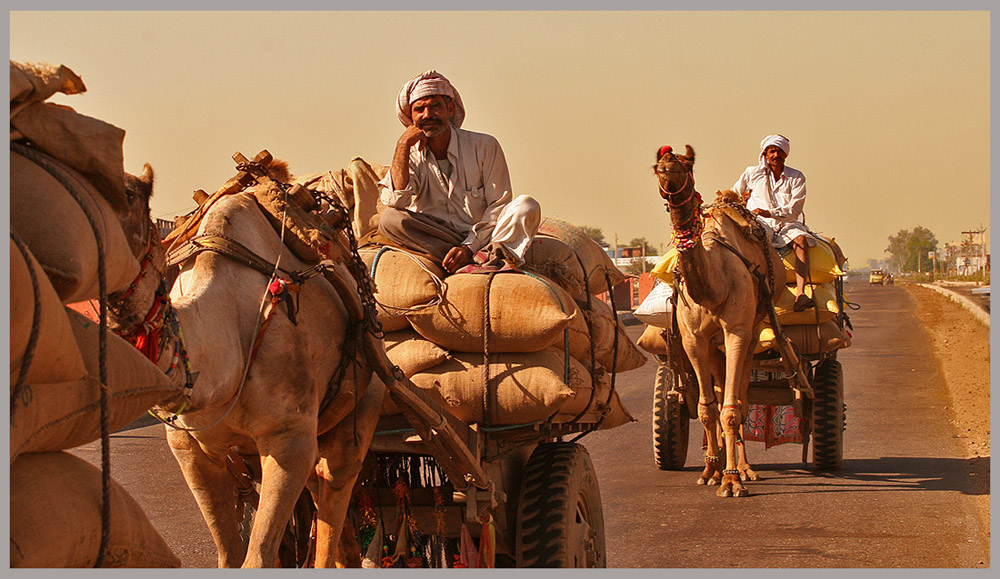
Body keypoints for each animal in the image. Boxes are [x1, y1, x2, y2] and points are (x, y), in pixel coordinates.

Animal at [108, 160, 382, 568]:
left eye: (129, 194)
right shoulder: (188, 445)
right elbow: (229, 555)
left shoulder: (288, 437)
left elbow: (257, 557)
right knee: (320, 489)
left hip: (366, 394)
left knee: (338, 478)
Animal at [656, 146, 788, 498]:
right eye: (657, 165)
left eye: (686, 165)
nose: (666, 167)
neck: (713, 288)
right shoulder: (693, 340)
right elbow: (706, 407)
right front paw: (710, 472)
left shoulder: (737, 332)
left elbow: (731, 408)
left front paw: (731, 480)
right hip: (713, 348)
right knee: (717, 389)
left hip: (752, 331)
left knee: (741, 397)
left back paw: (745, 469)